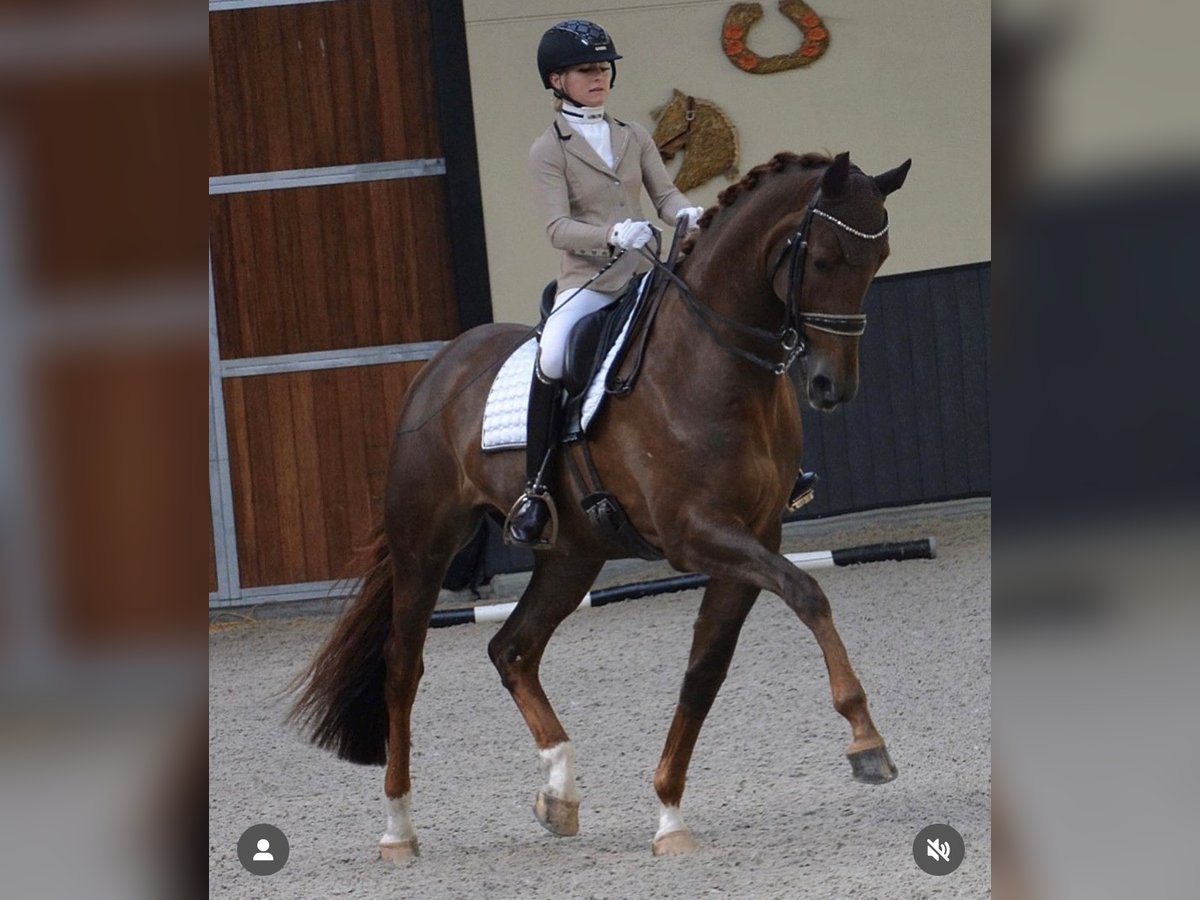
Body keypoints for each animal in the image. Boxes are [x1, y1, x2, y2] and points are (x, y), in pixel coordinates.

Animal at [288, 151, 907, 864]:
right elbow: (808, 594)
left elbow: (705, 670)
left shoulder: (756, 536)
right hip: (425, 545)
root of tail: (438, 366)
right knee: (402, 668)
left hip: (572, 554)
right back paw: (398, 829)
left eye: (880, 257)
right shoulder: (696, 534)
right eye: (826, 259)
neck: (714, 365)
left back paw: (558, 792)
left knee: (512, 649)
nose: (832, 387)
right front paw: (865, 737)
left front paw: (668, 814)